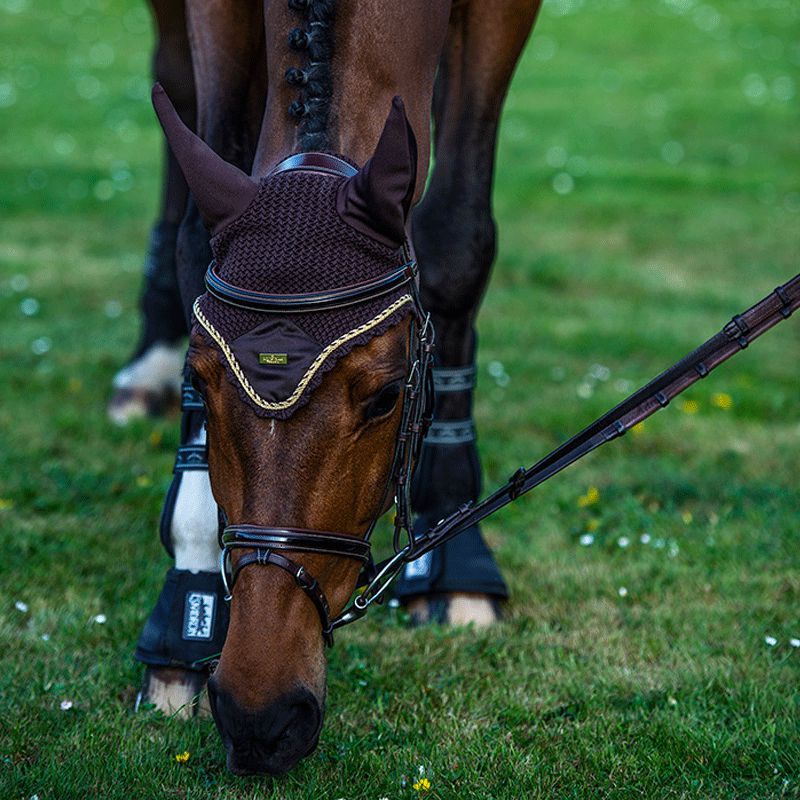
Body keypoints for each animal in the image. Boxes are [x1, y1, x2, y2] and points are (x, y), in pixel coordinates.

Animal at [132, 0, 542, 775]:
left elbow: (455, 242)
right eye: (201, 376)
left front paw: (456, 555)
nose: (259, 714)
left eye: (386, 397)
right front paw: (188, 596)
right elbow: (197, 244)